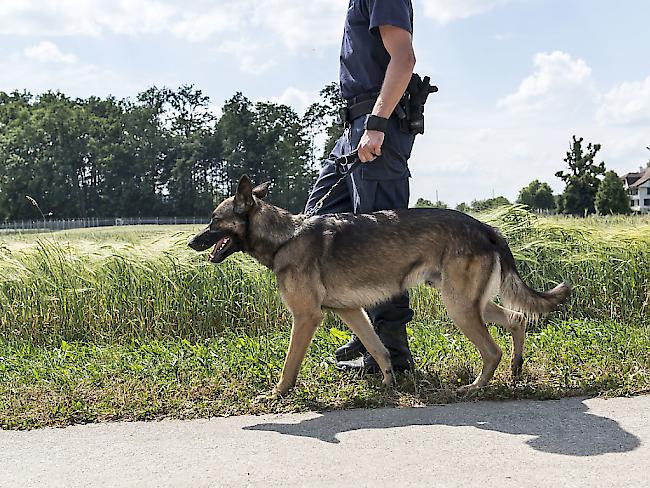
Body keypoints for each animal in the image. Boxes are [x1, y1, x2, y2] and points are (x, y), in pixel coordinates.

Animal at [186, 175, 568, 396]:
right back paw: (516, 368)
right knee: (517, 319)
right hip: (471, 303)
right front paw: (388, 383)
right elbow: (378, 347)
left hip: (459, 307)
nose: (190, 242)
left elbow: (290, 363)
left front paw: (279, 392)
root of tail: (487, 227)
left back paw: (474, 387)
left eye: (215, 220)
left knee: (492, 350)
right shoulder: (351, 311)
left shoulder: (307, 317)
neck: (285, 236)